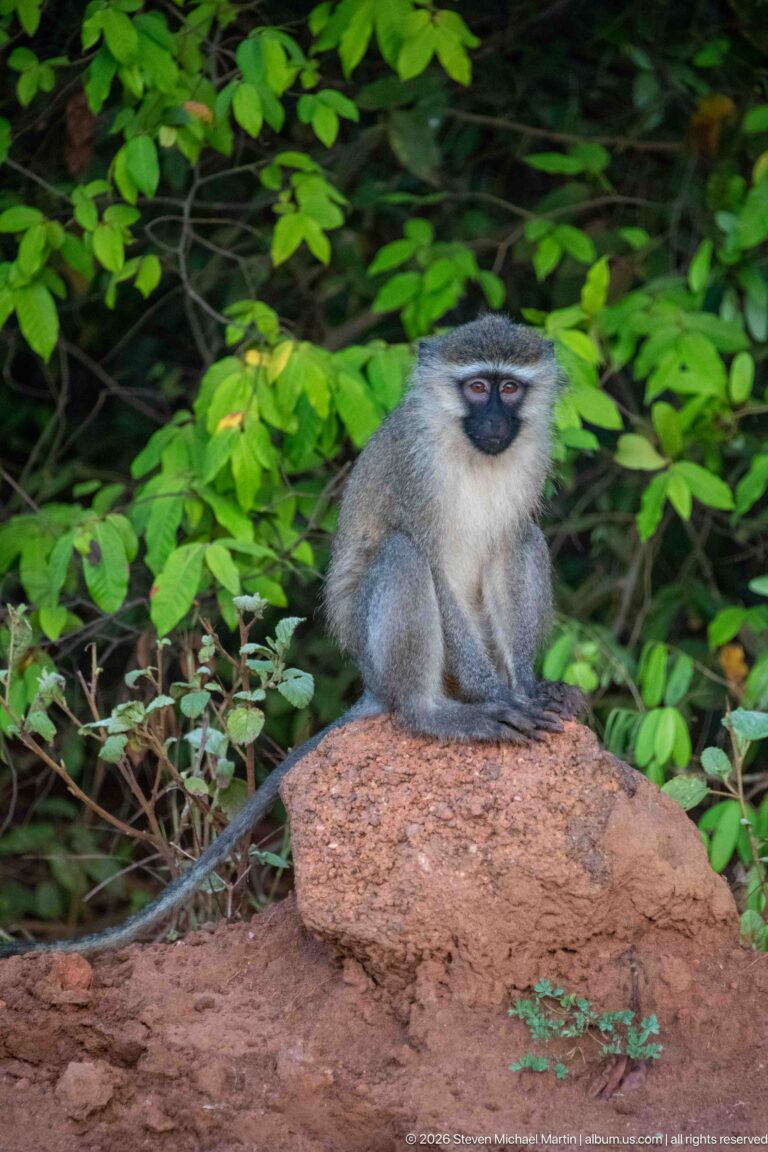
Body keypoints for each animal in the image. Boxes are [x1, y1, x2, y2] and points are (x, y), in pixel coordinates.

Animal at [0, 315, 582, 958]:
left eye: (511, 388)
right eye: (477, 388)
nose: (497, 422)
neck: (470, 452)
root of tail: (373, 684)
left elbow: (508, 546)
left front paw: (527, 688)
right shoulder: (415, 469)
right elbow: (429, 558)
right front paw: (498, 700)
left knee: (522, 537)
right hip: (377, 649)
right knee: (402, 555)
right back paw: (433, 713)